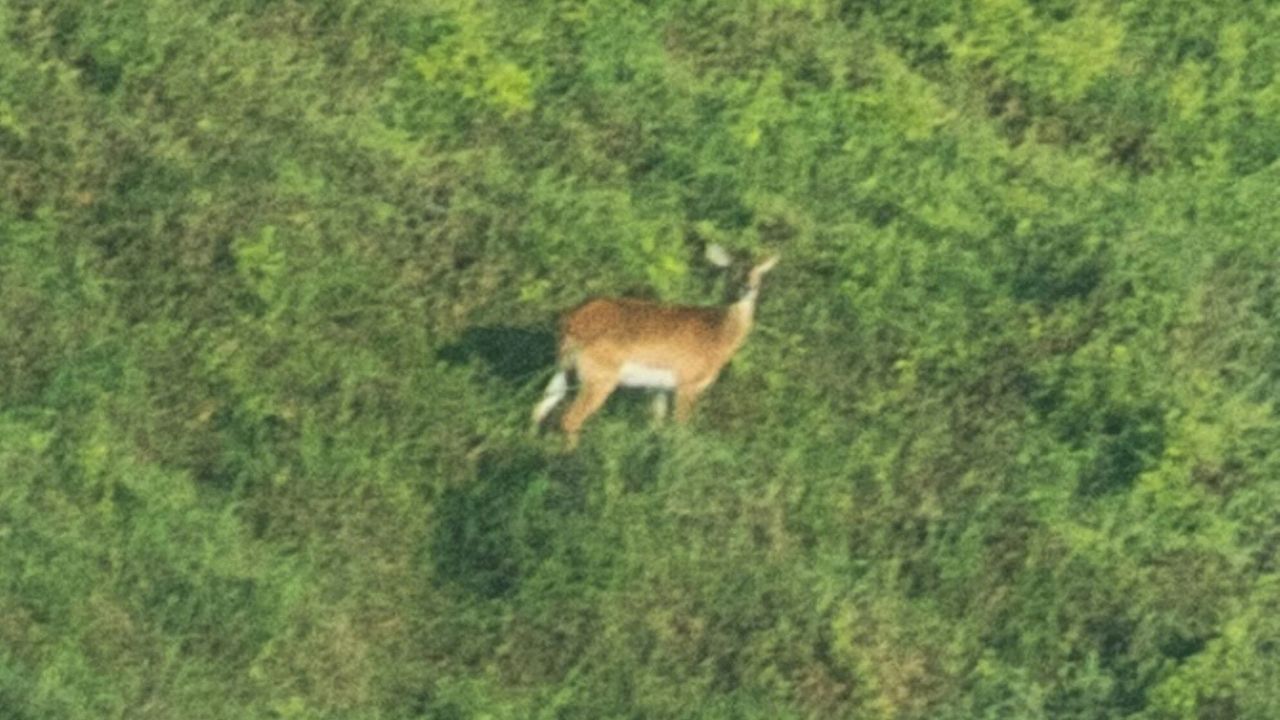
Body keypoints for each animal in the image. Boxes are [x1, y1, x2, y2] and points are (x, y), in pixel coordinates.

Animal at [532, 250, 779, 448]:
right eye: (733, 270)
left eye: (759, 272)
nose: (748, 287)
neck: (717, 335)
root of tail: (569, 321)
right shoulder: (687, 385)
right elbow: (681, 429)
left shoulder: (659, 388)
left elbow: (656, 426)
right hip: (599, 378)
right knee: (569, 419)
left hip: (564, 369)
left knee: (539, 409)